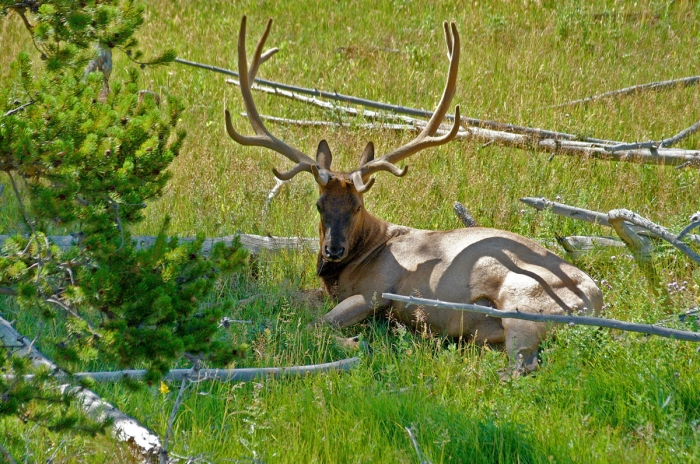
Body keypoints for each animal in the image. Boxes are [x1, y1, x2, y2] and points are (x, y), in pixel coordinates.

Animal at [224, 16, 600, 376]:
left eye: (357, 206)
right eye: (319, 205)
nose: (333, 249)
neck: (365, 254)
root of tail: (597, 303)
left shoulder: (374, 292)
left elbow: (314, 325)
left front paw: (356, 342)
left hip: (524, 306)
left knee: (523, 366)